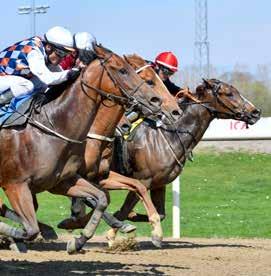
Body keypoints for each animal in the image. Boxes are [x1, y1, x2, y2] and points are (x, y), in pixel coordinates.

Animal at [0, 45, 164, 254]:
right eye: (123, 70)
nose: (155, 100)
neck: (51, 127)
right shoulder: (15, 185)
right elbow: (30, 229)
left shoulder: (65, 181)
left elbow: (107, 197)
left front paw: (79, 240)